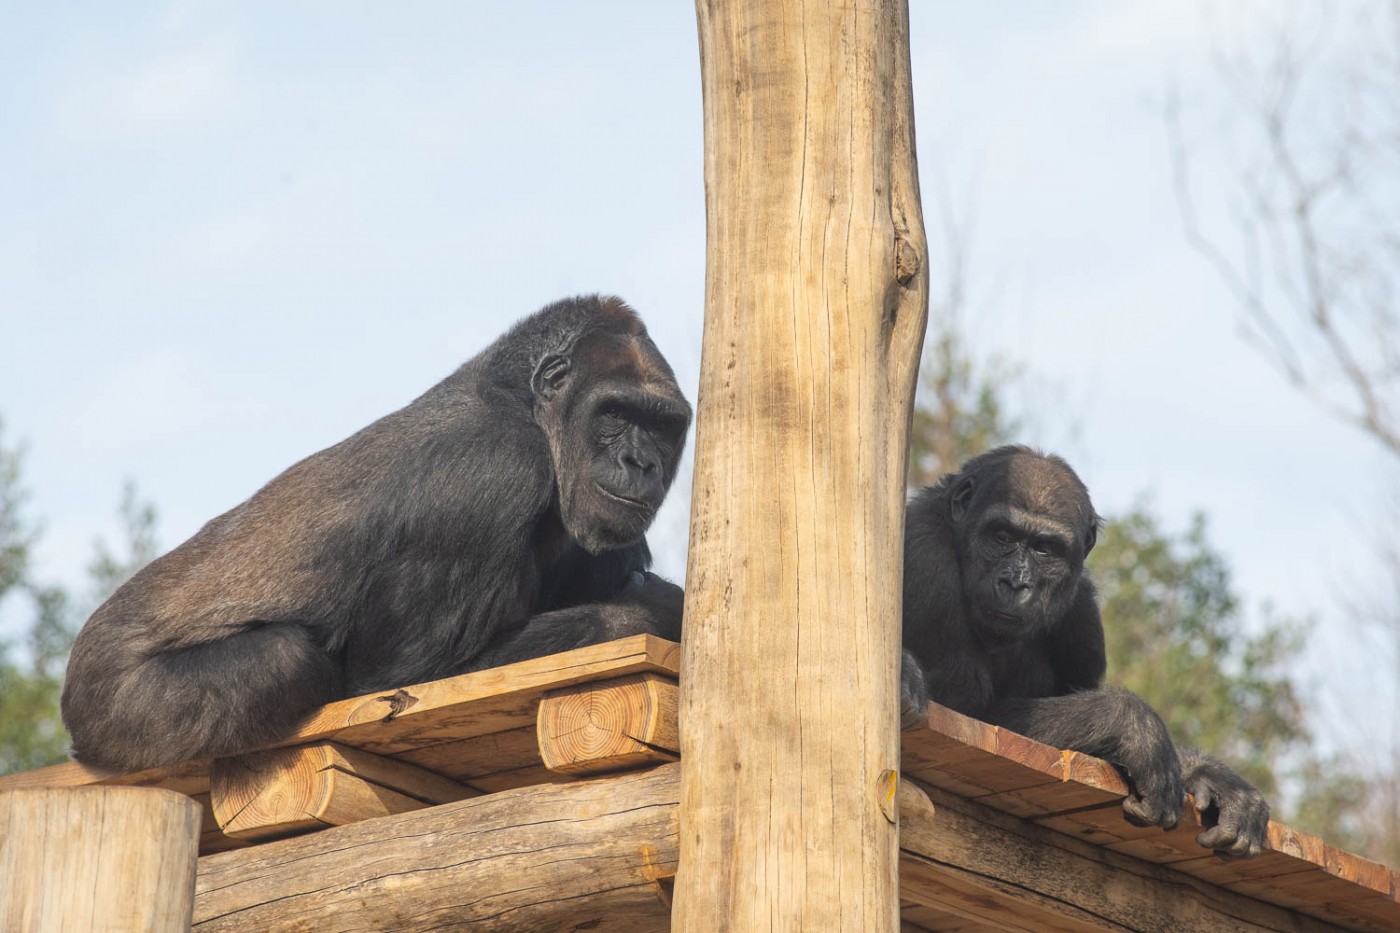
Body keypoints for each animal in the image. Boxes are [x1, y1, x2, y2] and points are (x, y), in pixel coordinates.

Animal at [63, 294, 691, 767]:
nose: (642, 463)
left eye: (663, 427)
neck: (523, 404)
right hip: (113, 707)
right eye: (615, 414)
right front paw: (660, 607)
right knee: (284, 658)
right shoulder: (491, 468)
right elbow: (403, 683)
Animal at [901, 448, 1276, 851]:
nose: (1016, 582)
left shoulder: (1083, 614)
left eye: (1045, 548)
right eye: (1002, 535)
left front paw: (1205, 773)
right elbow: (966, 713)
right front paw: (1135, 728)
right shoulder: (926, 560)